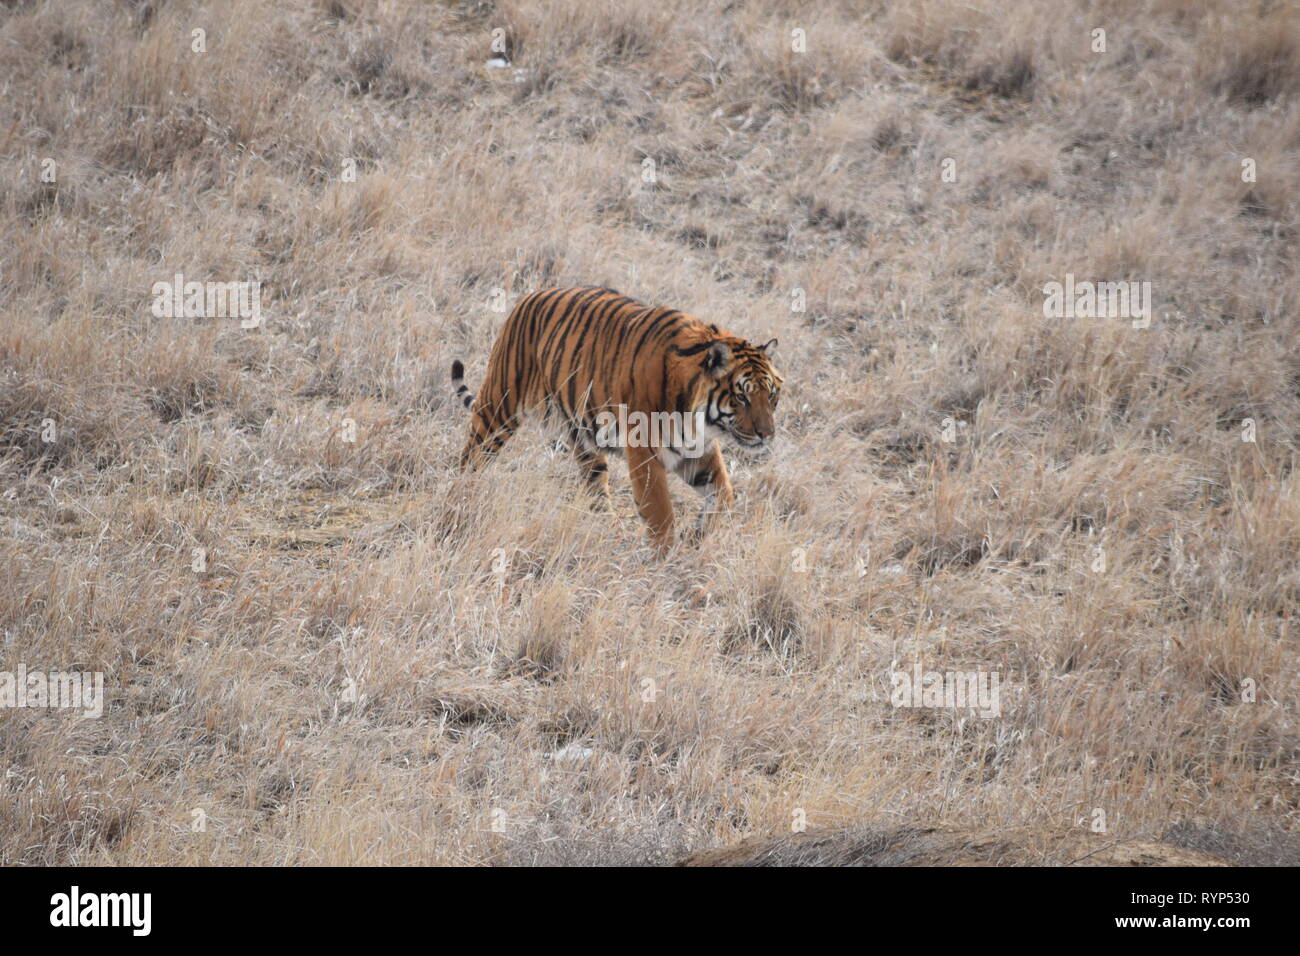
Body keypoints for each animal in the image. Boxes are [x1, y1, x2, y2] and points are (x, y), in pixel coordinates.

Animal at [452, 286, 785, 554]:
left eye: (770, 395)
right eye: (741, 397)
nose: (767, 434)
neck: (698, 419)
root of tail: (529, 296)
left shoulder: (697, 450)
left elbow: (724, 495)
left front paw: (697, 537)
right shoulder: (645, 451)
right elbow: (660, 511)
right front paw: (665, 561)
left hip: (584, 438)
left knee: (596, 487)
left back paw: (608, 529)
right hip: (499, 406)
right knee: (471, 457)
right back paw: (463, 496)